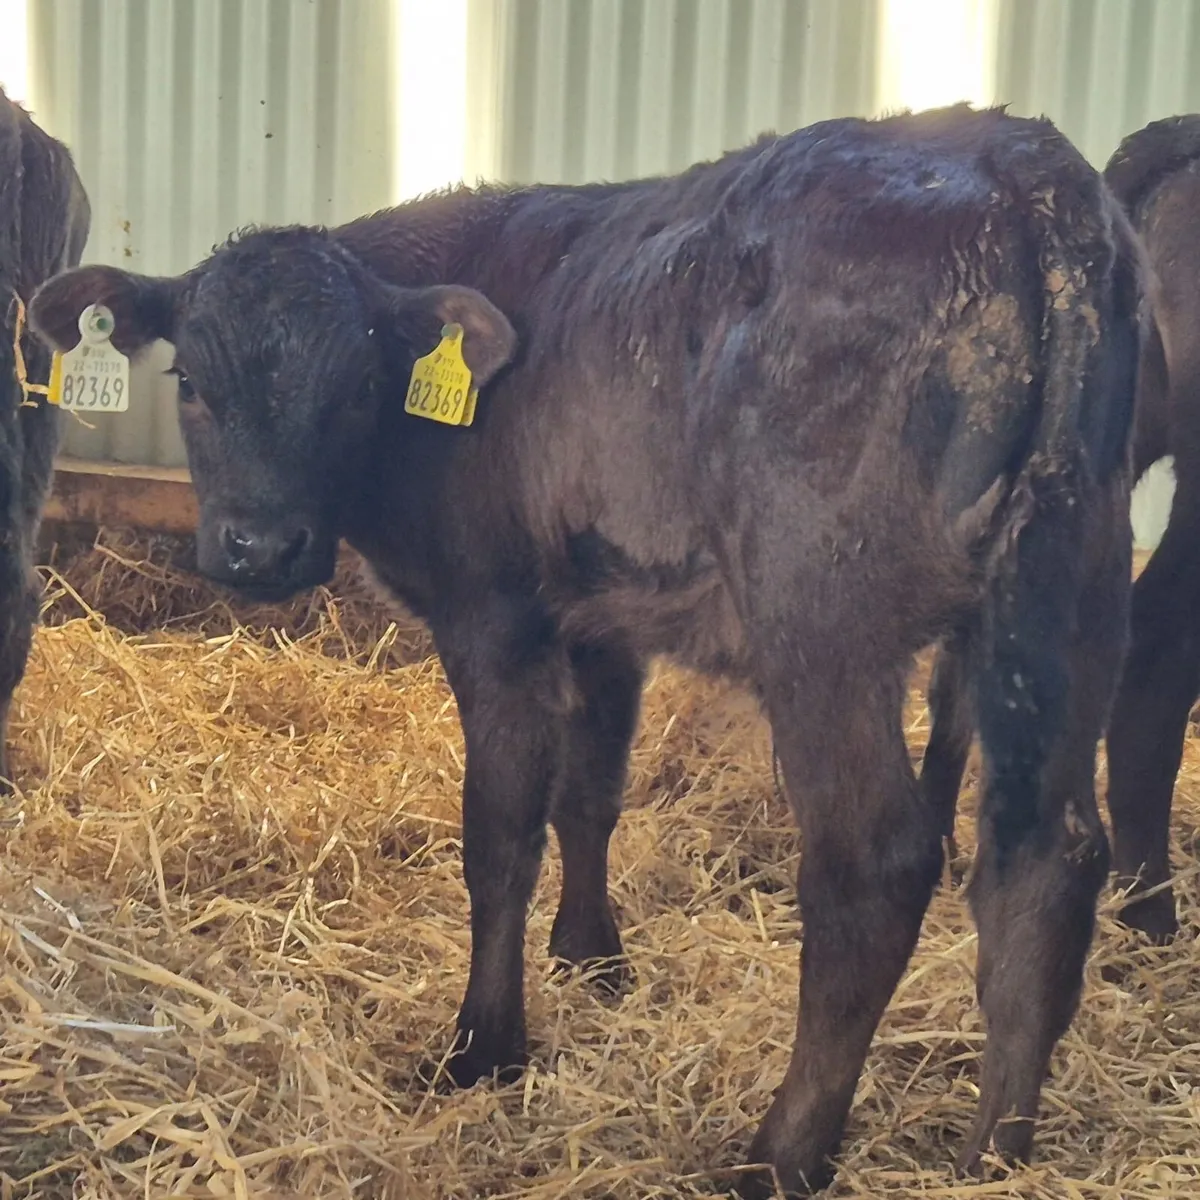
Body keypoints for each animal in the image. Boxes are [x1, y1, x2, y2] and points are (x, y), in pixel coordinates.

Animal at [29, 104, 1144, 1195]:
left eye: (354, 386)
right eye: (191, 381)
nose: (261, 546)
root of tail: (1019, 162)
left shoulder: (493, 616)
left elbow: (501, 832)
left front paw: (485, 1046)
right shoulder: (606, 614)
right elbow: (590, 794)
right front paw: (591, 958)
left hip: (824, 621)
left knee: (875, 863)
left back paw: (781, 1154)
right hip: (1071, 591)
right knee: (1048, 853)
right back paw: (996, 1152)